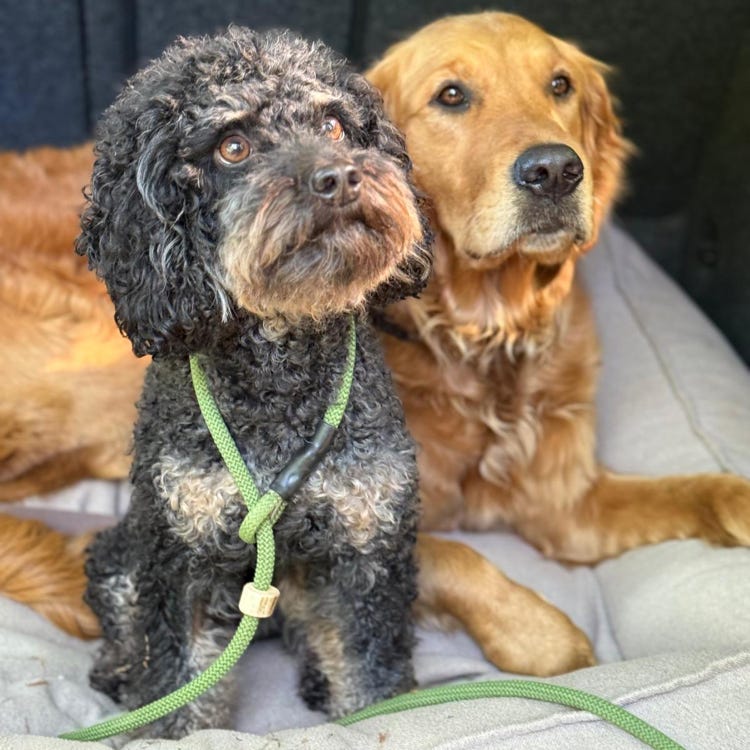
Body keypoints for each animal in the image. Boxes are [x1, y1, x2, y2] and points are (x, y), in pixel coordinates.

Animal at [75, 28, 430, 737]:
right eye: (232, 146)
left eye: (334, 125)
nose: (338, 176)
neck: (278, 376)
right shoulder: (175, 555)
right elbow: (175, 683)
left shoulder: (367, 551)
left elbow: (371, 677)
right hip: (128, 547)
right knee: (122, 610)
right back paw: (119, 670)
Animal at [367, 11, 750, 675]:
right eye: (451, 95)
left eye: (560, 84)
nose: (554, 171)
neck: (490, 334)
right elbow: (448, 555)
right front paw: (544, 637)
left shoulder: (569, 505)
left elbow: (695, 489)